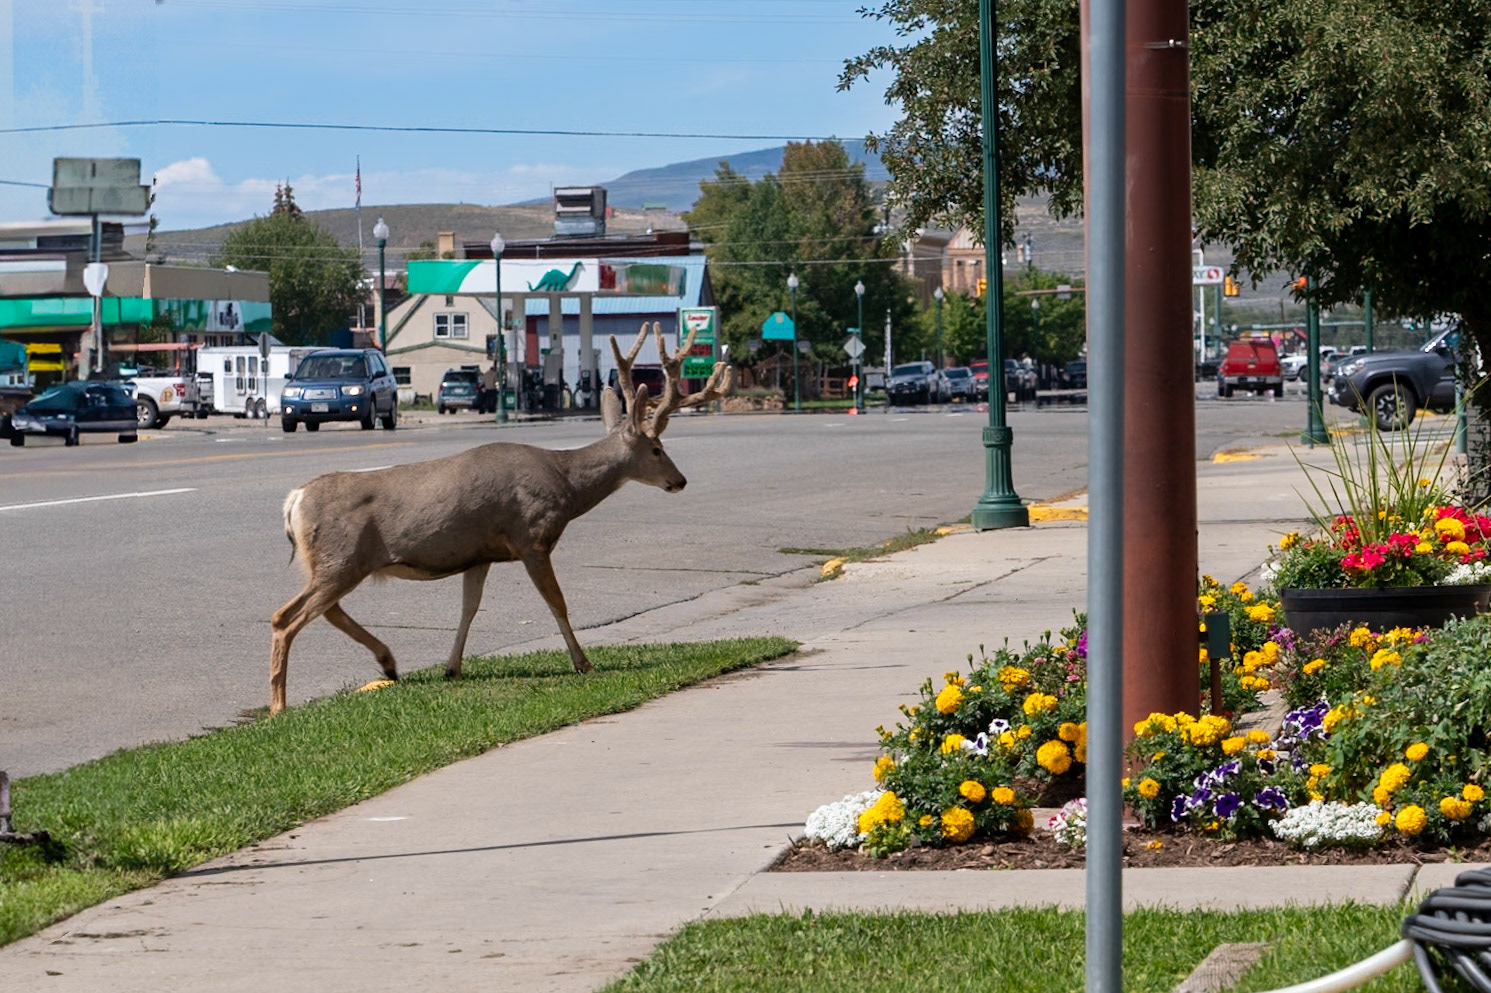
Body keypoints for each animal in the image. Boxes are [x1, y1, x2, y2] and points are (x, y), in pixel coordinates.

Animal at [268, 322, 732, 715]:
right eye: (657, 448)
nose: (680, 480)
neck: (566, 486)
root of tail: (294, 500)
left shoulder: (480, 554)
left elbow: (468, 610)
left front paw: (452, 668)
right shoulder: (531, 538)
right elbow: (557, 602)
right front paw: (583, 662)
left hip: (340, 562)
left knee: (325, 611)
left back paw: (388, 663)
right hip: (342, 557)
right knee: (285, 619)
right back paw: (279, 706)